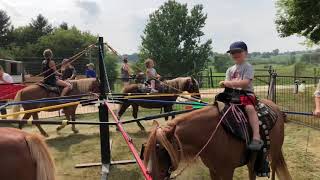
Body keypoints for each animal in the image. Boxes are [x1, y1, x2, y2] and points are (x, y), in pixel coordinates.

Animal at [144, 98, 292, 180]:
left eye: (162, 150)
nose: (151, 175)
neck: (213, 136)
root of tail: (277, 109)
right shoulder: (213, 170)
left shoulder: (227, 172)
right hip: (253, 160)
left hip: (274, 155)